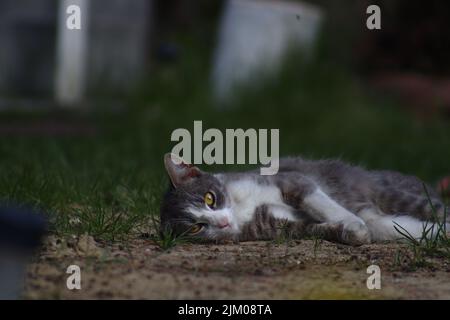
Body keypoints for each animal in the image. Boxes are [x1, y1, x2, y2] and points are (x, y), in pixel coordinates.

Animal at [160, 152, 448, 245]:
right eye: (196, 227)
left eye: (210, 198)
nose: (222, 223)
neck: (241, 211)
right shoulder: (279, 226)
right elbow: (315, 229)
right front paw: (354, 231)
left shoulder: (290, 180)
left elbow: (313, 198)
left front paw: (352, 221)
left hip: (392, 195)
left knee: (438, 209)